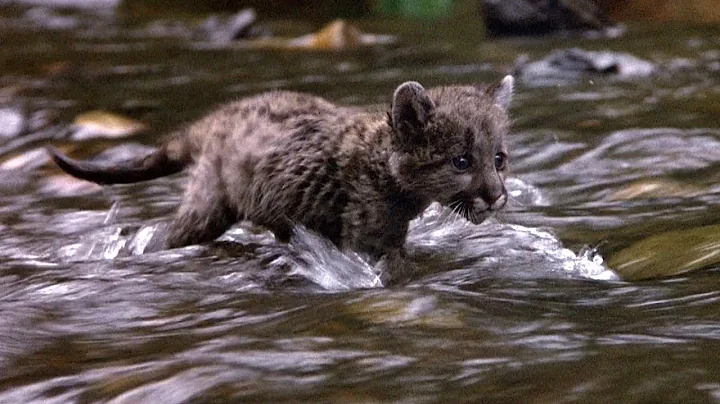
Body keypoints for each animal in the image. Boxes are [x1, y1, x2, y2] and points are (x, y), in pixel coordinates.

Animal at [49, 76, 512, 258]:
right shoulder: (370, 239)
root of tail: (214, 118)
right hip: (208, 205)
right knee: (173, 234)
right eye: (461, 161)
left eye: (499, 159)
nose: (496, 197)